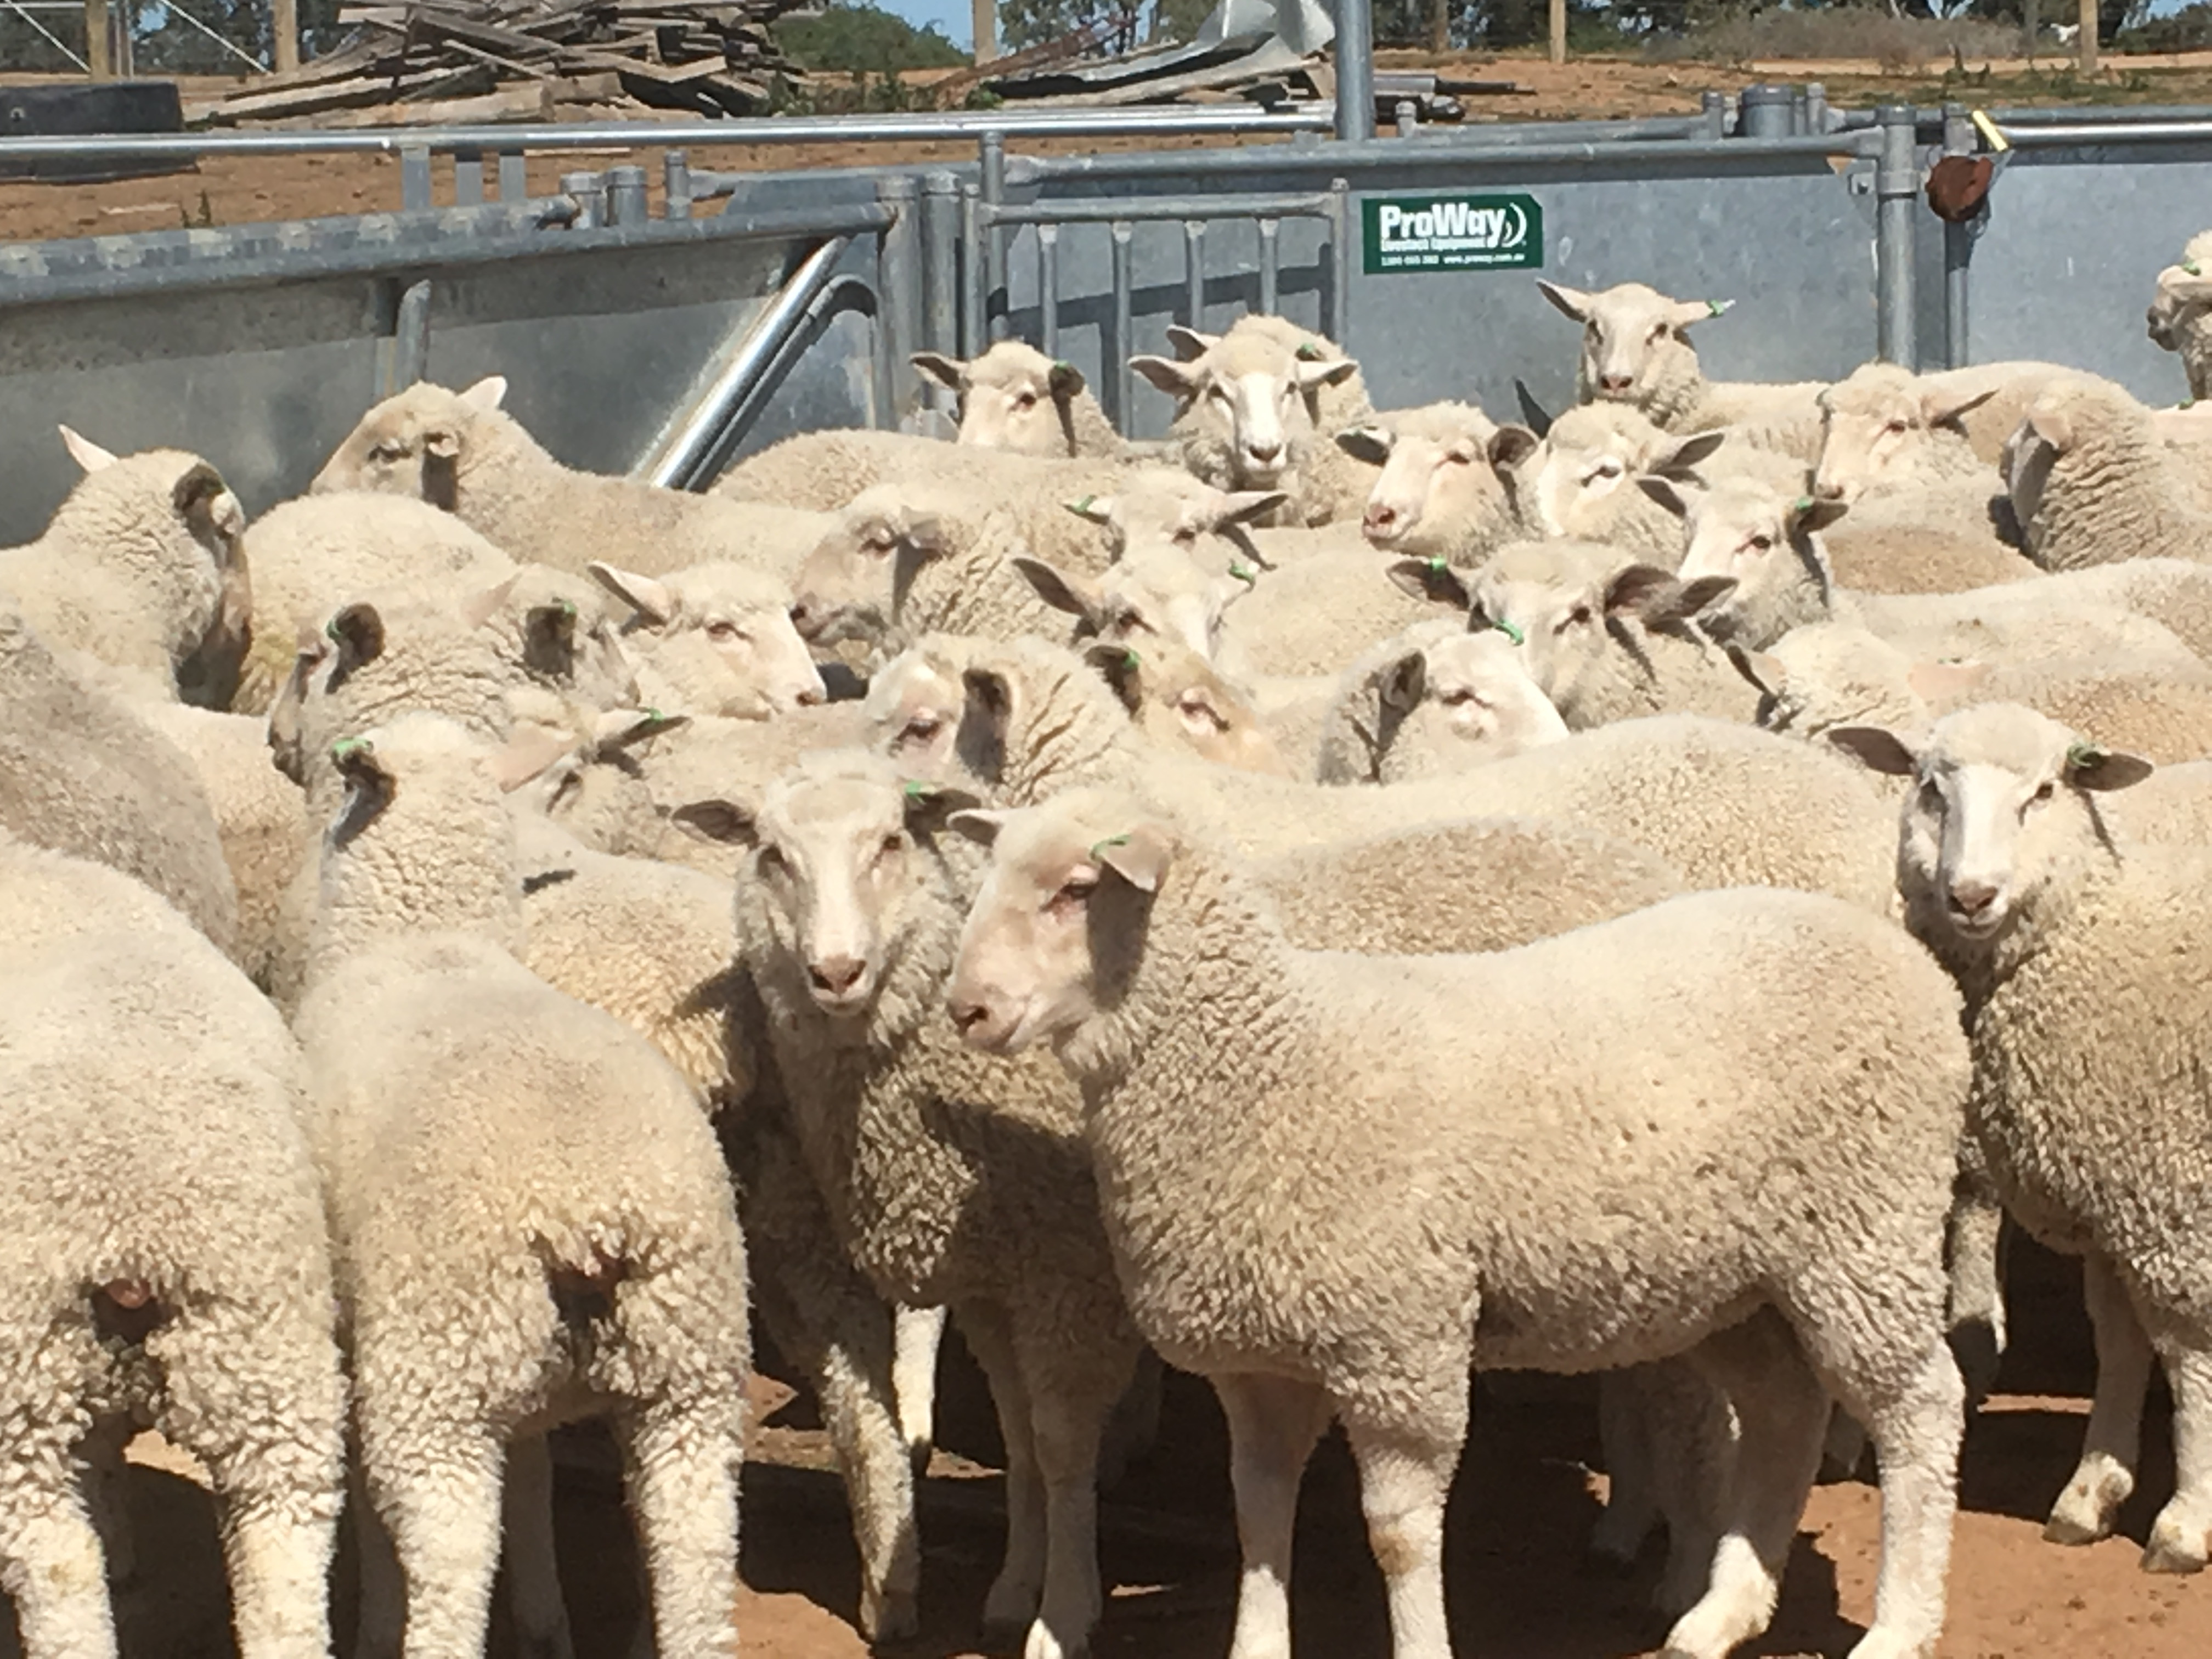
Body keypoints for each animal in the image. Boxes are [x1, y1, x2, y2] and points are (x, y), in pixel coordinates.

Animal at [293, 712, 753, 1659]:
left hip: (443, 1369)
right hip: (689, 1372)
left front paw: (376, 1620)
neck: (428, 941)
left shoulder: (368, 1330)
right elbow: (537, 1474)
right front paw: (546, 1616)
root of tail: (592, 1217)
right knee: (695, 1552)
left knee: (452, 1559)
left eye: (348, 787)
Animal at [675, 749, 1143, 1659]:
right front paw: (1012, 1588)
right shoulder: (995, 1276)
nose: (835, 974)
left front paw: (1064, 1612)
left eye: (891, 840)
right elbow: (1017, 1431)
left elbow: (1061, 1445)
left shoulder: (1068, 1272)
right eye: (771, 854)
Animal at [943, 786, 1970, 1659]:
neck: (1274, 1060)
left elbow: (1398, 1536)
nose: (967, 1009)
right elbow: (1257, 1513)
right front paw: (1258, 1642)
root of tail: (1916, 967)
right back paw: (1720, 1614)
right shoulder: (1261, 1357)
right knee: (1785, 1409)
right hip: (1741, 1280)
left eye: (1077, 890)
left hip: (1866, 1231)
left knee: (1920, 1407)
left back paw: (1898, 1625)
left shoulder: (1399, 1343)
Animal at [1826, 702, 2212, 1574]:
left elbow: (2189, 1356)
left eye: (2044, 792)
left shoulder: (2174, 1204)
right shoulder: (2111, 1199)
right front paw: (2091, 1491)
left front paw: (2188, 1520)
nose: (1972, 895)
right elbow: (2119, 1341)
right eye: (1930, 788)